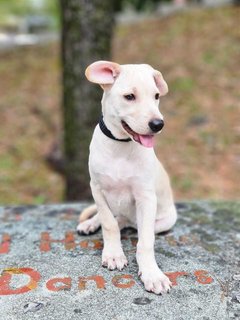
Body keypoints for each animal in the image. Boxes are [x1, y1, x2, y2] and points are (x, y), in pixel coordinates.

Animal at [77, 60, 176, 296]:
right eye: (130, 96)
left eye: (156, 96)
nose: (158, 124)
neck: (120, 146)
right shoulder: (97, 188)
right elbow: (108, 223)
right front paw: (113, 254)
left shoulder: (146, 197)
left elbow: (145, 241)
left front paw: (152, 274)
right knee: (114, 219)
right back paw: (89, 224)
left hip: (165, 220)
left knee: (129, 224)